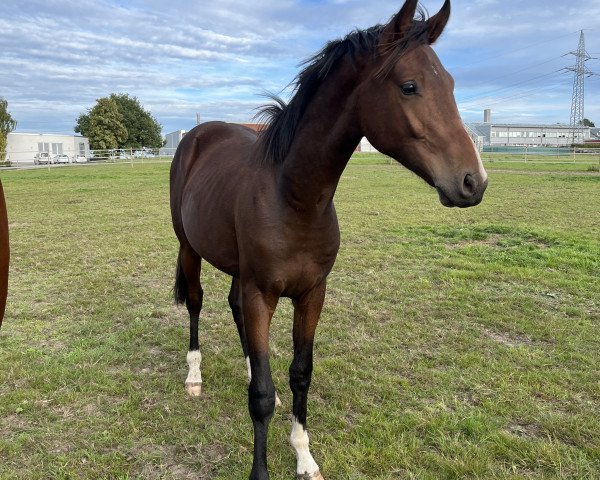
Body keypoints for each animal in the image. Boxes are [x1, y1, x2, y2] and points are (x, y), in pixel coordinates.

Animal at [169, 1, 488, 478]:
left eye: (449, 83)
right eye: (409, 86)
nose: (473, 181)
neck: (293, 197)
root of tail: (197, 134)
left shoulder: (312, 293)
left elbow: (299, 373)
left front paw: (303, 455)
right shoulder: (263, 293)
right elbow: (261, 398)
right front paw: (261, 469)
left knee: (234, 310)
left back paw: (247, 369)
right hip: (190, 249)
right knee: (196, 302)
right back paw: (194, 376)